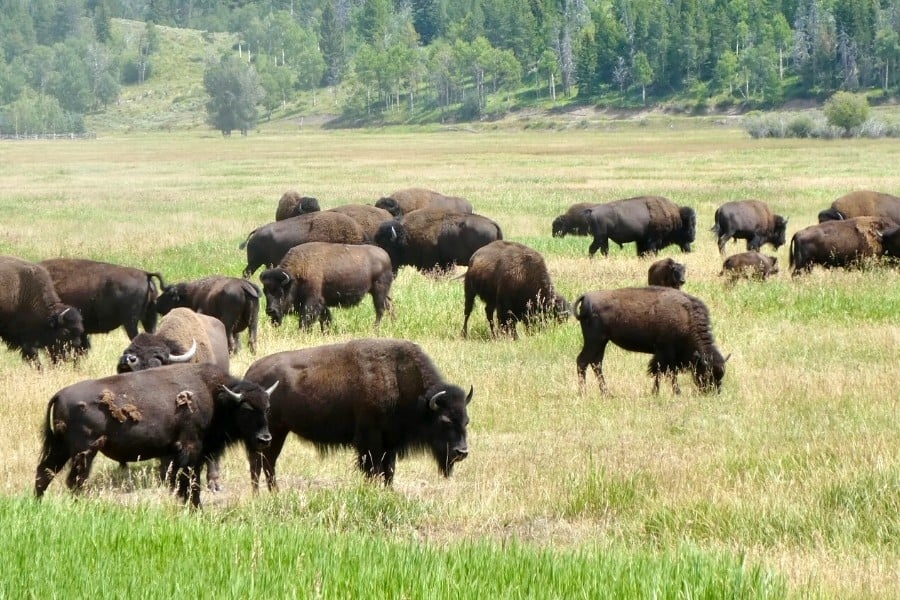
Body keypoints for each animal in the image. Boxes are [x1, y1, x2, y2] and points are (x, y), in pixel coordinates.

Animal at [34, 363, 277, 507]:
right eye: (246, 409)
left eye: (267, 408)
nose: (265, 439)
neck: (215, 397)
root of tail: (59, 394)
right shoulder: (189, 449)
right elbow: (190, 482)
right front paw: (195, 508)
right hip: (85, 451)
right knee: (74, 480)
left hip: (62, 449)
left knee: (45, 473)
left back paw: (38, 504)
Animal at [243, 339, 472, 489]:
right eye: (444, 420)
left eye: (466, 421)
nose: (462, 452)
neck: (399, 380)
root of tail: (251, 373)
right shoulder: (370, 442)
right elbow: (373, 469)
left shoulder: (390, 443)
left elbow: (389, 471)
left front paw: (388, 492)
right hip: (271, 433)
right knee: (260, 462)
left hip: (278, 433)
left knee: (265, 462)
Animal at [259, 242, 394, 331]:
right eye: (265, 292)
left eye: (280, 292)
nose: (270, 311)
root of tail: (386, 255)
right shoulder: (322, 303)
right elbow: (325, 318)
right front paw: (326, 332)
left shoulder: (312, 302)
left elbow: (306, 319)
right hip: (384, 293)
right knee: (390, 305)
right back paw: (393, 322)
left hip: (378, 292)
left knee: (380, 309)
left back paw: (375, 328)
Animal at [575, 287, 727, 395]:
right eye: (707, 373)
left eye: (721, 374)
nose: (712, 392)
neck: (686, 317)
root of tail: (586, 297)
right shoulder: (666, 353)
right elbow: (665, 372)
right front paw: (673, 392)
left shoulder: (668, 356)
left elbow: (663, 372)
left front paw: (658, 392)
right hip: (594, 341)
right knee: (582, 362)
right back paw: (583, 393)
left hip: (602, 342)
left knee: (596, 364)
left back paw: (606, 394)